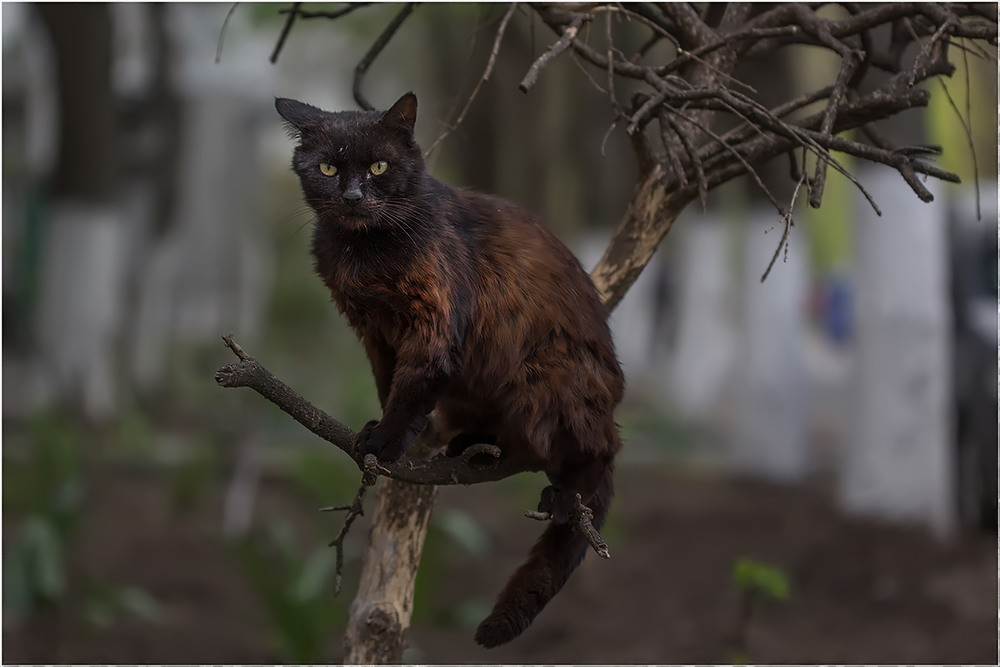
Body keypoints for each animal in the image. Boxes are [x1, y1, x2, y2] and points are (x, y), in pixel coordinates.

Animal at [278, 92, 620, 648]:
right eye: (328, 168)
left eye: (378, 167)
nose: (352, 196)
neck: (363, 253)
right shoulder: (376, 334)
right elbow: (388, 385)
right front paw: (388, 434)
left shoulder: (432, 324)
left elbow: (412, 386)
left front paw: (385, 442)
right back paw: (476, 445)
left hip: (551, 373)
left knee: (601, 451)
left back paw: (566, 492)